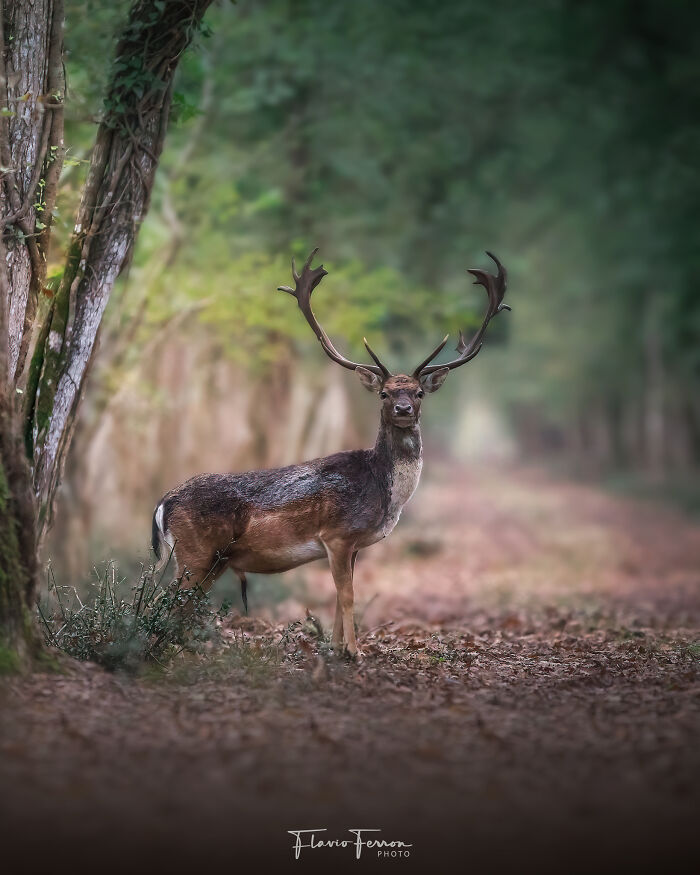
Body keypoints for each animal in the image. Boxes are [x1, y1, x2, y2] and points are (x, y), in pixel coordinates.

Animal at [152, 249, 509, 656]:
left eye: (418, 392)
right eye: (385, 393)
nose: (403, 409)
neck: (384, 495)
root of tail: (163, 502)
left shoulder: (352, 545)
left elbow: (340, 597)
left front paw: (337, 648)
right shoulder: (337, 534)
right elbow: (348, 595)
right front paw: (355, 651)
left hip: (207, 560)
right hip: (196, 553)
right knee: (164, 600)